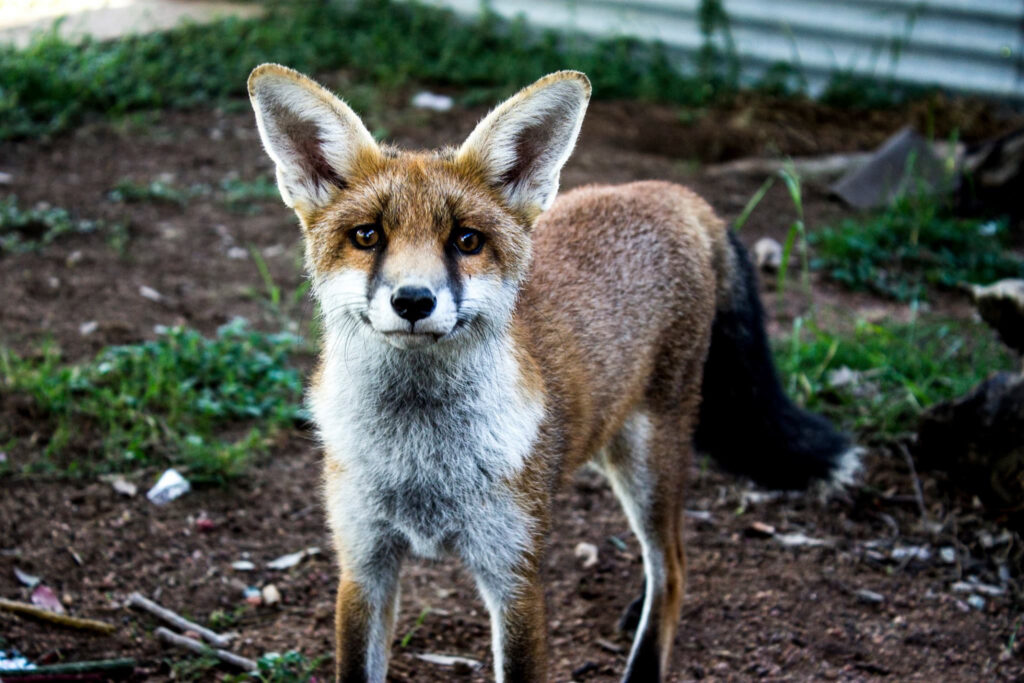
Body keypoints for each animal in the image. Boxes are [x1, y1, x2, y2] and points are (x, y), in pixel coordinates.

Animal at [247, 64, 859, 682]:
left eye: (466, 240)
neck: (423, 461)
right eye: (367, 236)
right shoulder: (362, 565)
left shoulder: (516, 575)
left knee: (675, 567)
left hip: (648, 458)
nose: (414, 300)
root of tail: (669, 192)